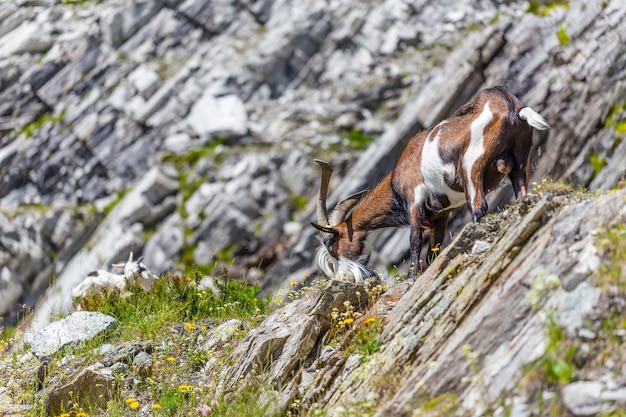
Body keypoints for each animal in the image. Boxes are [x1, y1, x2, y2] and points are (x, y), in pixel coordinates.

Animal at [312, 85, 544, 280]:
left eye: (331, 243)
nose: (344, 277)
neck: (395, 184)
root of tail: (510, 105)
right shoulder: (440, 216)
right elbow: (435, 248)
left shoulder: (414, 198)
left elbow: (415, 240)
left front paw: (411, 276)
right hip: (521, 156)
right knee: (521, 190)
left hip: (472, 164)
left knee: (479, 207)